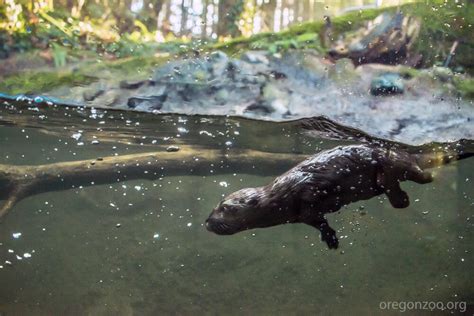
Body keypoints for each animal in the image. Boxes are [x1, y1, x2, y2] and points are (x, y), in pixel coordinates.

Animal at [206, 143, 472, 249]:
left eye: (225, 207)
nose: (207, 222)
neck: (281, 196)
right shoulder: (303, 214)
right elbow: (316, 220)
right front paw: (329, 237)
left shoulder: (307, 190)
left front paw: (331, 236)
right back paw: (401, 198)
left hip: (395, 161)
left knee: (420, 174)